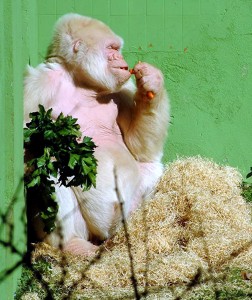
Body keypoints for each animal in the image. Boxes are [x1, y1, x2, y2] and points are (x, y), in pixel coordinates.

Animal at [24, 12, 169, 254]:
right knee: (49, 169)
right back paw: (71, 244)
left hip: (123, 218)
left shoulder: (122, 89)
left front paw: (152, 83)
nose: (121, 58)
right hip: (87, 232)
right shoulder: (36, 85)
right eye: (112, 48)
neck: (81, 83)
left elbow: (141, 149)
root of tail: (104, 235)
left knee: (151, 166)